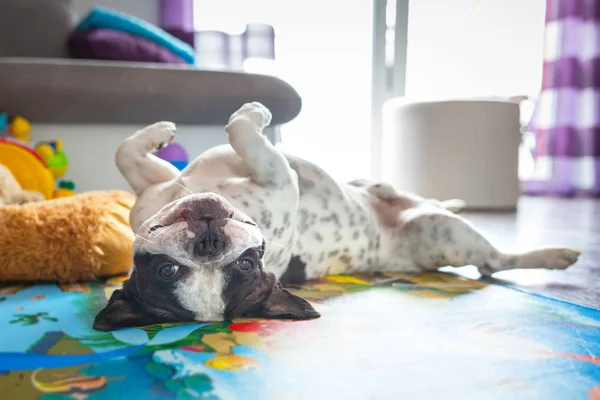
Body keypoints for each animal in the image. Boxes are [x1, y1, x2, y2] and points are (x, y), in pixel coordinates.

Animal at [95, 101, 580, 330]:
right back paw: (553, 256)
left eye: (247, 265)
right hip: (443, 234)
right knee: (493, 263)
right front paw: (254, 112)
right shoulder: (278, 178)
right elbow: (243, 130)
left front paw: (160, 132)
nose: (208, 239)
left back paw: (449, 199)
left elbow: (124, 151)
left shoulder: (155, 185)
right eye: (169, 271)